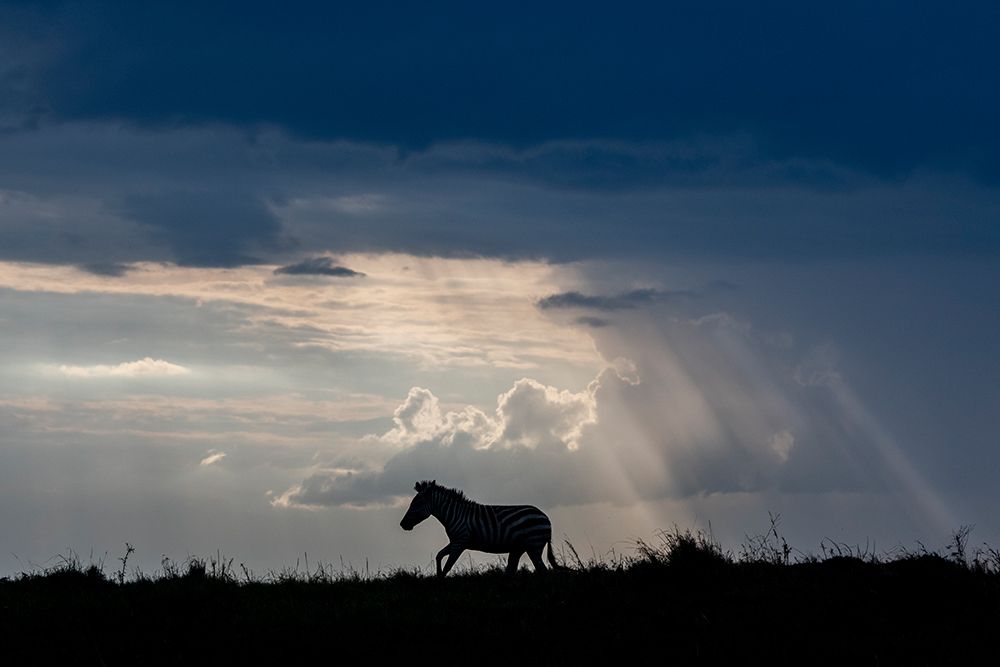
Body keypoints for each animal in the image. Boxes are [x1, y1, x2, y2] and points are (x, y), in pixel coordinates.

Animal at [399, 480, 561, 576]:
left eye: (417, 504)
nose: (402, 524)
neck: (455, 514)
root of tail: (545, 517)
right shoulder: (455, 541)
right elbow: (439, 555)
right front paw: (438, 575)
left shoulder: (460, 542)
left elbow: (448, 565)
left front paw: (441, 579)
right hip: (519, 548)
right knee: (513, 570)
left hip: (534, 545)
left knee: (543, 571)